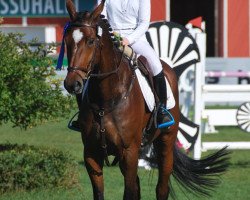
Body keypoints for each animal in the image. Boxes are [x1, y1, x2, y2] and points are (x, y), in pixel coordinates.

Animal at [63, 0, 230, 199]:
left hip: (165, 143)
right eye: (67, 40)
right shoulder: (91, 153)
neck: (107, 99)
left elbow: (129, 192)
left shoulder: (129, 152)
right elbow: (102, 192)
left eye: (90, 41)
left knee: (162, 187)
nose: (72, 84)